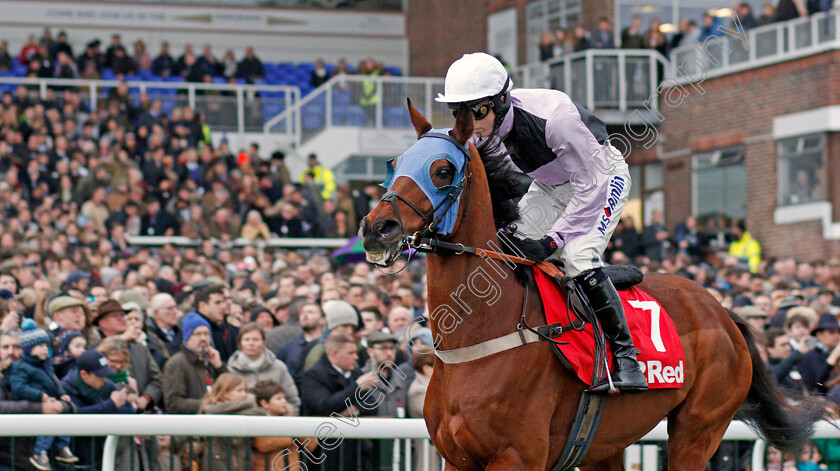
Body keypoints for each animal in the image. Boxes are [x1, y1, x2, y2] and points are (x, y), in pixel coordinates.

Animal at [358, 101, 824, 470]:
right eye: (394, 164)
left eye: (442, 170)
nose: (377, 227)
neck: (479, 342)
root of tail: (723, 311)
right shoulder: (457, 459)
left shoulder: (516, 456)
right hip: (607, 443)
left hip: (699, 429)